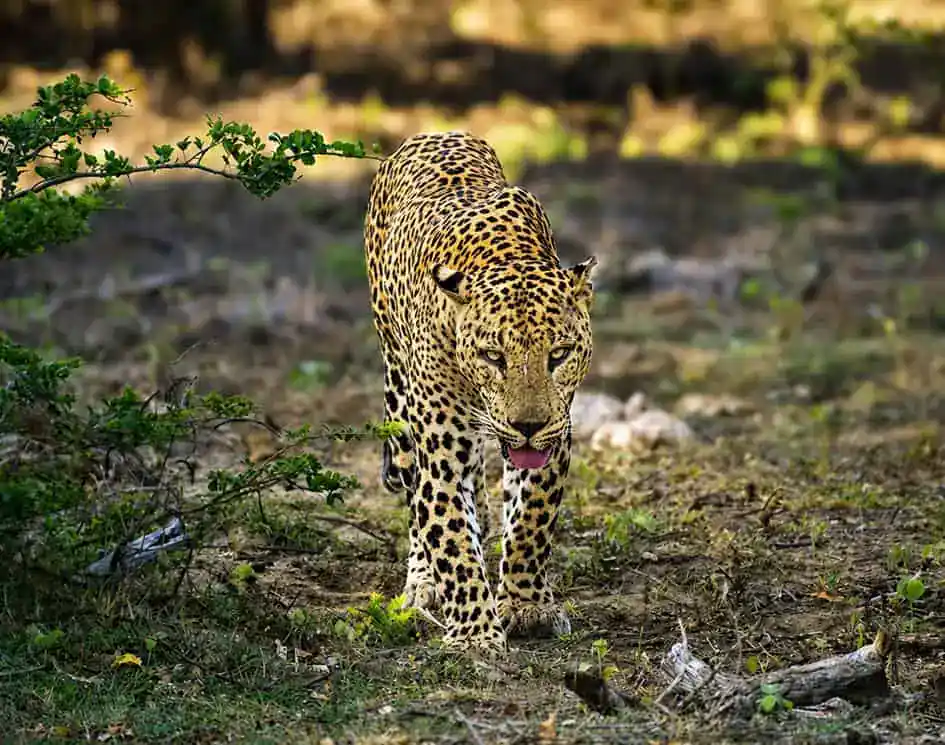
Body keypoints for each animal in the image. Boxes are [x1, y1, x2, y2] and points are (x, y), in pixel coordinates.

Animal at [363, 131, 597, 654]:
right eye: (493, 356)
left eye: (560, 354)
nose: (527, 426)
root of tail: (434, 132)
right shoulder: (440, 447)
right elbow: (450, 536)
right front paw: (473, 634)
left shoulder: (555, 434)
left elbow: (531, 519)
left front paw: (526, 605)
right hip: (399, 395)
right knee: (417, 499)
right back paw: (422, 583)